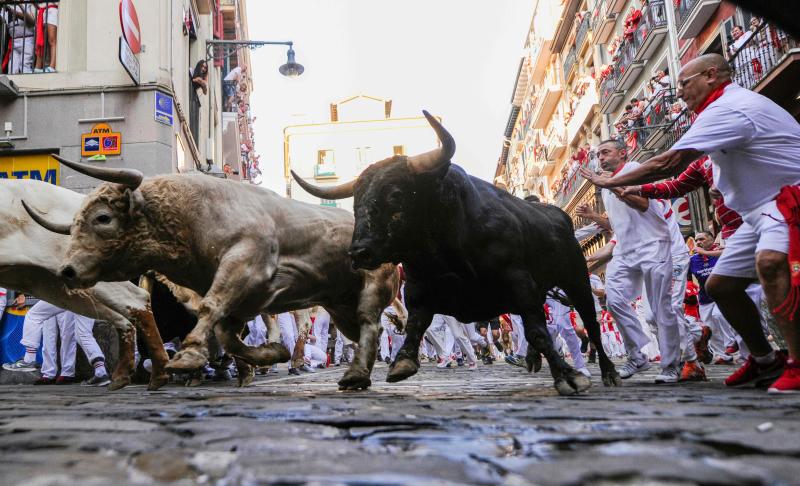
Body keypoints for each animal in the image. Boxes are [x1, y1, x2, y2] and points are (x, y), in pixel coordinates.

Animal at [26, 158, 400, 390]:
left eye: (103, 218)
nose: (67, 270)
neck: (191, 215)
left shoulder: (244, 266)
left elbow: (212, 311)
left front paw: (187, 358)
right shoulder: (246, 300)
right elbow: (226, 334)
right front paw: (270, 354)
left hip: (370, 290)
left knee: (371, 324)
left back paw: (356, 374)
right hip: (340, 306)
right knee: (367, 332)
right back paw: (361, 373)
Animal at [294, 111, 624, 394]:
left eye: (396, 194)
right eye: (356, 201)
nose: (358, 252)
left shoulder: (519, 282)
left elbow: (539, 332)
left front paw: (568, 377)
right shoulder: (419, 288)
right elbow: (416, 324)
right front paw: (403, 361)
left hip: (576, 280)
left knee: (589, 324)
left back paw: (608, 371)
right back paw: (531, 359)